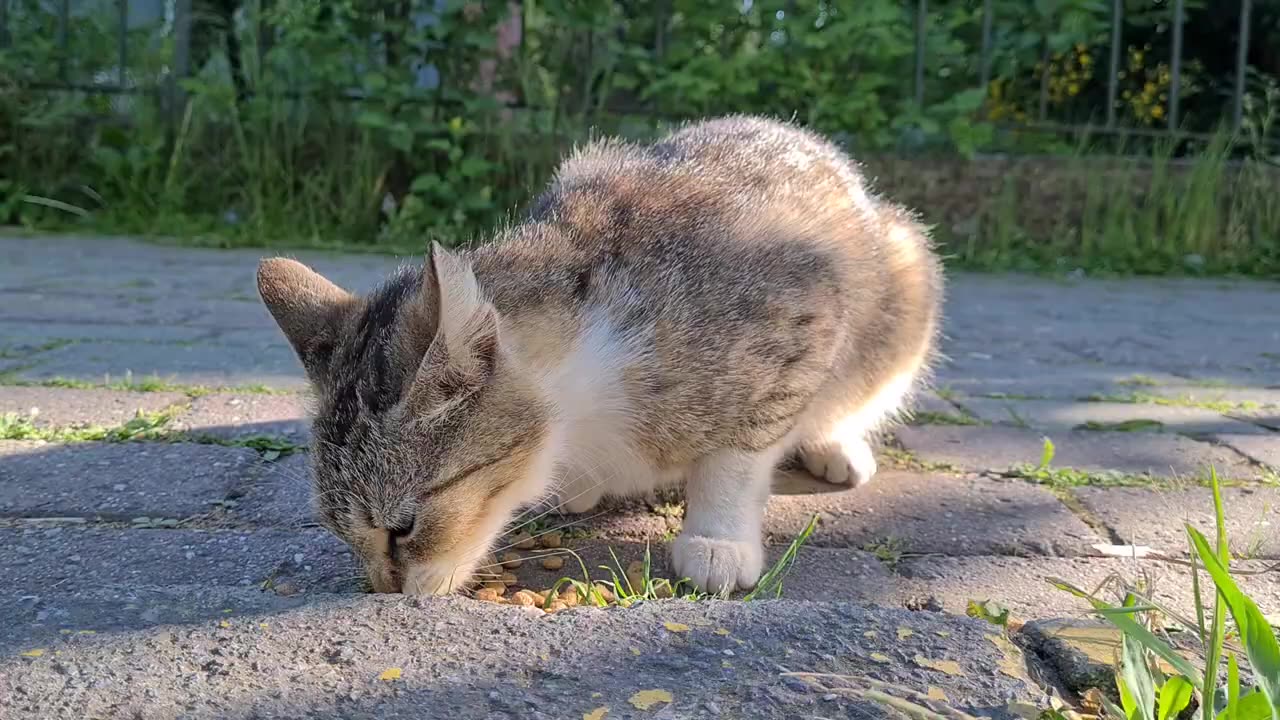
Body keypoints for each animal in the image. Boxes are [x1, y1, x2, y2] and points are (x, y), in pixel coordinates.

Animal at [257, 113, 942, 594]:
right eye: (340, 532)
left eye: (402, 529)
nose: (383, 591)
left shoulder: (800, 314)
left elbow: (738, 454)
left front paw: (718, 538)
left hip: (906, 273)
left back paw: (836, 444)